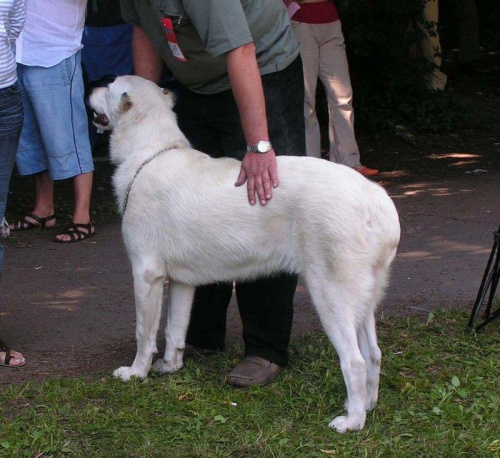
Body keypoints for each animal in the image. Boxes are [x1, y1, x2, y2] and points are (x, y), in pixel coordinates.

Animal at [90, 76, 400, 432]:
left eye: (110, 86)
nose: (89, 88)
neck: (150, 153)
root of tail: (376, 200)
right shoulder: (182, 282)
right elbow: (174, 328)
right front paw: (170, 366)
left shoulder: (146, 275)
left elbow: (144, 332)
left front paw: (136, 373)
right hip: (362, 300)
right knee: (374, 353)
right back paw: (367, 405)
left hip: (332, 297)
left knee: (355, 361)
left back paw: (352, 421)